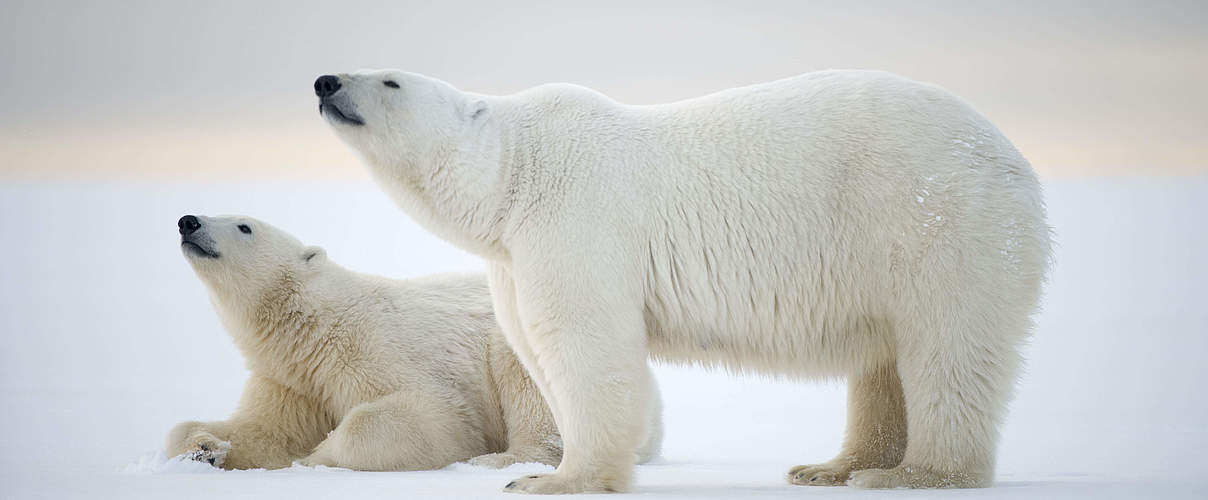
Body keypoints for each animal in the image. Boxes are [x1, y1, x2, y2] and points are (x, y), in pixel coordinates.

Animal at [163, 216, 661, 473]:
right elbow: (262, 430)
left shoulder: (372, 346)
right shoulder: (292, 380)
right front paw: (204, 449)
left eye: (244, 226)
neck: (315, 328)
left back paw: (498, 460)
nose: (188, 221)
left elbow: (428, 417)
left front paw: (317, 456)